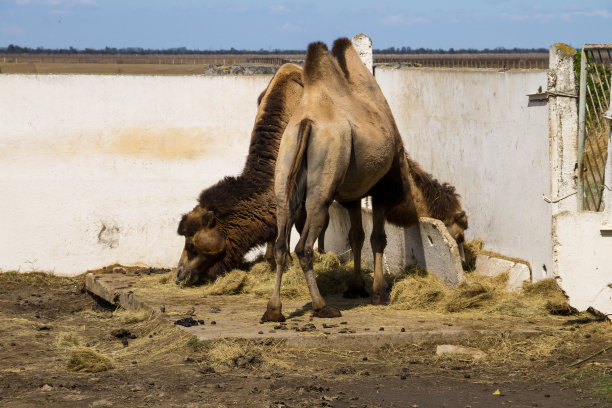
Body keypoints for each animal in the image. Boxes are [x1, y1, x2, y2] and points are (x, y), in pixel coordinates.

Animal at [260, 39, 466, 322]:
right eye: (461, 235)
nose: (467, 262)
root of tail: (306, 122)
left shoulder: (352, 196)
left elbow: (356, 236)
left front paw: (356, 288)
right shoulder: (382, 189)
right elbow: (378, 238)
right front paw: (379, 293)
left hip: (285, 169)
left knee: (282, 241)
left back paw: (273, 310)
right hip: (324, 177)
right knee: (304, 246)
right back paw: (322, 307)